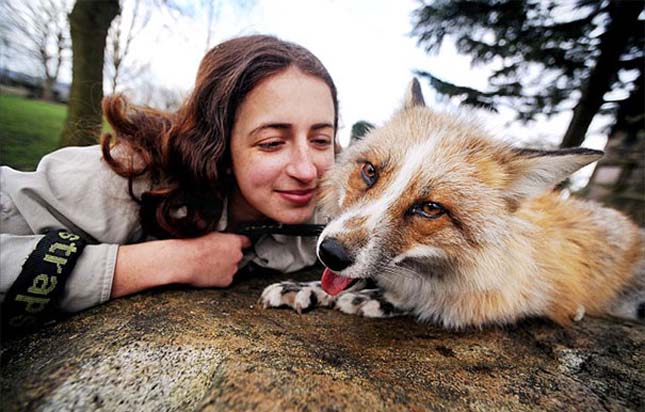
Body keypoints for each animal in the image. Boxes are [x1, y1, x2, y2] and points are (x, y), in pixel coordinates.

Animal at [260, 78, 640, 328]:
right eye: (369, 172)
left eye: (431, 208)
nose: (331, 253)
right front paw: (309, 288)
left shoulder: (514, 286)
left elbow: (441, 299)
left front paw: (379, 299)